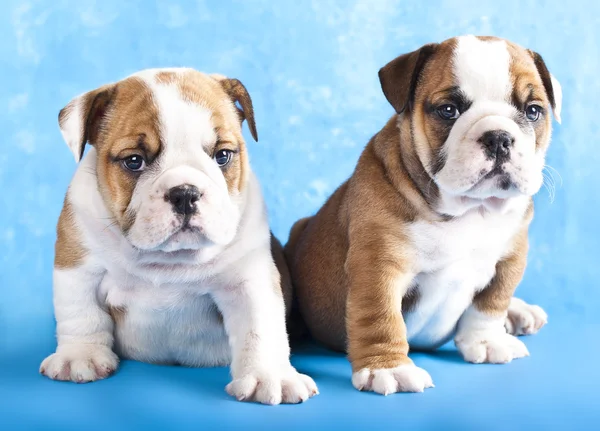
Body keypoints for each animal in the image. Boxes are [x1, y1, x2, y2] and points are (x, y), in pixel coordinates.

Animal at [38, 67, 318, 404]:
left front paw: (270, 376)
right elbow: (80, 311)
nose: (185, 193)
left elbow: (260, 327)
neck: (169, 260)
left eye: (223, 156)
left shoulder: (248, 279)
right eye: (134, 161)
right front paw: (80, 356)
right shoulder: (78, 264)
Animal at [286, 35, 556, 396]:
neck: (469, 210)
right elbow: (381, 318)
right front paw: (388, 368)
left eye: (533, 111)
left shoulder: (509, 260)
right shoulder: (378, 267)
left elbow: (491, 303)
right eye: (448, 110)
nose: (498, 137)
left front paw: (486, 340)